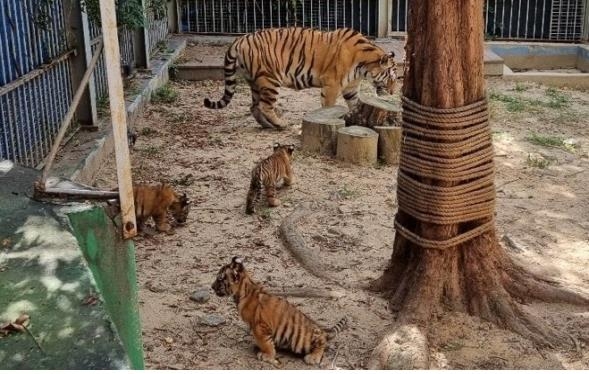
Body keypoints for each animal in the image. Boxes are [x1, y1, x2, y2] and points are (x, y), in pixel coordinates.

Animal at [203, 27, 400, 130]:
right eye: (392, 77)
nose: (392, 92)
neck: (364, 66)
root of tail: (239, 39)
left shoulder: (350, 88)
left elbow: (357, 105)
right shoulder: (332, 84)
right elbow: (329, 107)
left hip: (254, 81)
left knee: (254, 107)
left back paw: (268, 125)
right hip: (269, 80)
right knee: (265, 106)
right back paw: (281, 124)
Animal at [212, 256, 346, 366]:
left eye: (219, 279)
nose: (212, 287)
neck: (243, 290)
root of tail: (324, 331)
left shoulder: (260, 327)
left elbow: (265, 343)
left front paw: (267, 356)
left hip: (302, 340)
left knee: (322, 342)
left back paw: (313, 357)